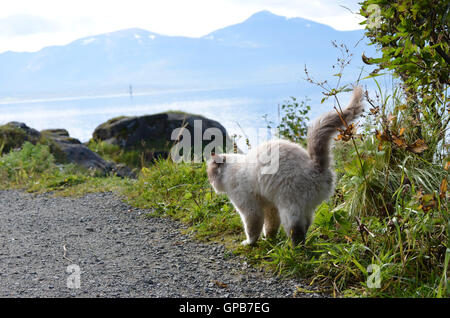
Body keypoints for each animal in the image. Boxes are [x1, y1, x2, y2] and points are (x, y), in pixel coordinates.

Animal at [207, 86, 366, 246]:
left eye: (210, 176)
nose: (212, 185)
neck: (233, 169)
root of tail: (316, 165)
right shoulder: (270, 206)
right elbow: (270, 226)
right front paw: (269, 239)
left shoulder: (250, 208)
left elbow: (252, 229)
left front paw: (249, 243)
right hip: (304, 208)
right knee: (306, 225)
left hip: (289, 208)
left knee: (296, 232)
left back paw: (292, 247)